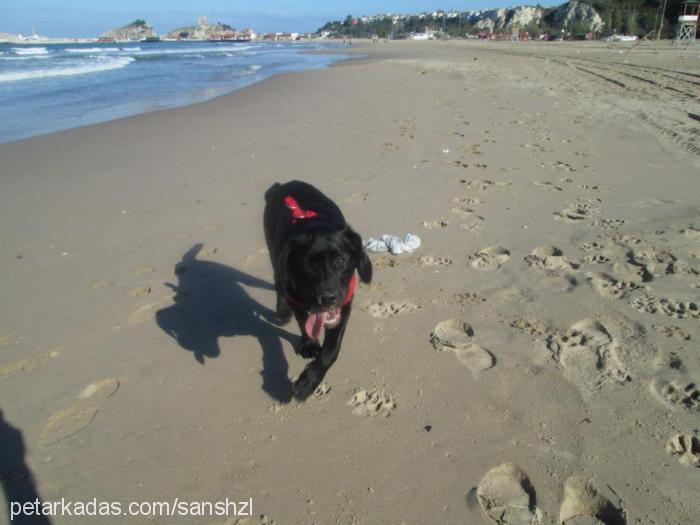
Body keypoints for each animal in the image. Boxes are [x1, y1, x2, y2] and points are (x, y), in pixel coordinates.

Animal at [264, 180, 372, 398]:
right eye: (308, 265)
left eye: (341, 260)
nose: (327, 298)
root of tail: (282, 185)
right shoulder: (295, 296)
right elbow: (303, 321)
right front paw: (309, 345)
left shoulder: (344, 305)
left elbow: (331, 350)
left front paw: (308, 381)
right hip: (274, 254)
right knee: (278, 280)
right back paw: (282, 312)